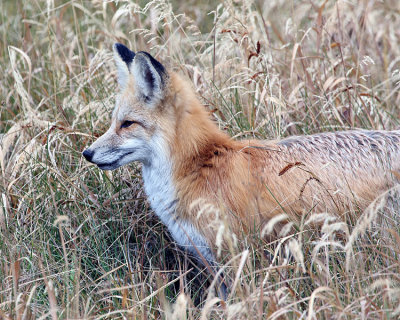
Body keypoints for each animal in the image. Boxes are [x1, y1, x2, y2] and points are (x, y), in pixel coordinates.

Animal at [83, 42, 400, 284]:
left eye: (127, 124)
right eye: (113, 123)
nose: (87, 153)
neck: (199, 165)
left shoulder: (236, 256)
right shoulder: (210, 259)